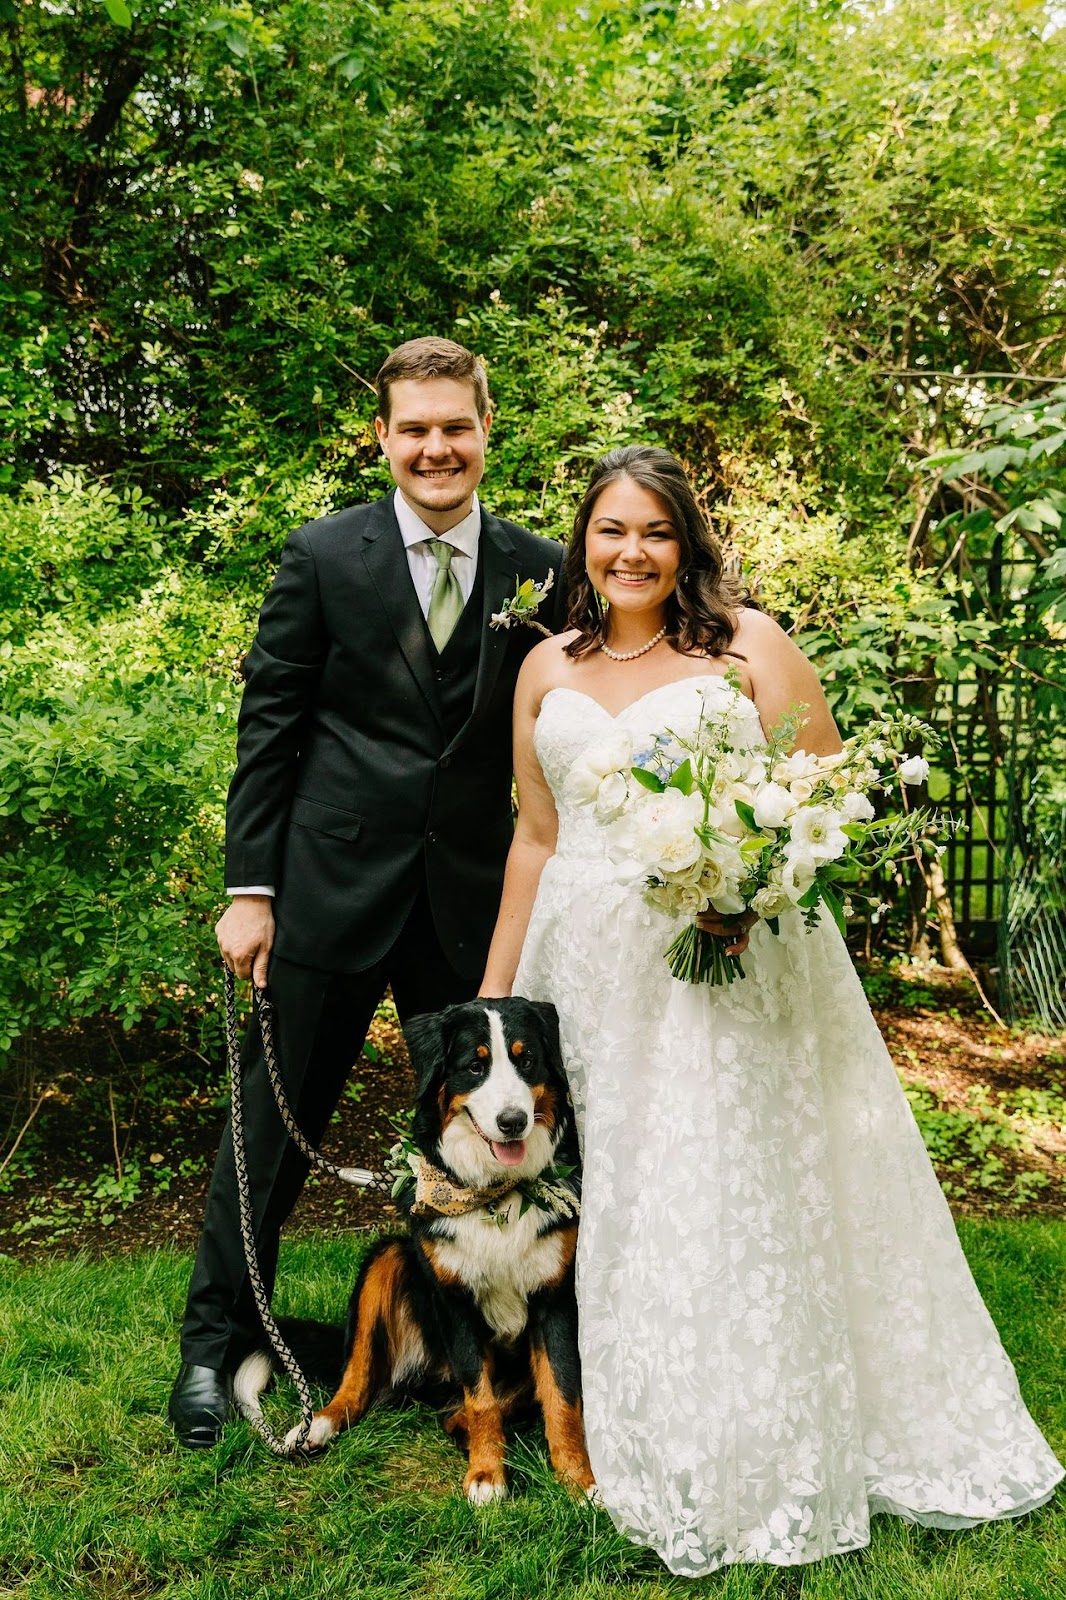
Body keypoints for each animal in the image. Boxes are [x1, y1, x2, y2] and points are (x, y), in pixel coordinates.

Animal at [230, 992, 589, 1504]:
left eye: (527, 1060)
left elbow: (562, 1395)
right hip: (387, 1257)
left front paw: (580, 1483)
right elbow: (481, 1399)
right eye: (475, 1066)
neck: (495, 1198)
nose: (513, 1122)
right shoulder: (456, 1302)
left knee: (457, 1414)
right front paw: (487, 1475)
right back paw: (315, 1426)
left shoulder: (554, 1297)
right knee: (359, 1378)